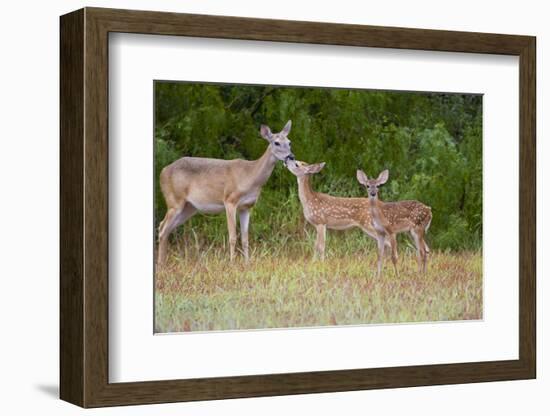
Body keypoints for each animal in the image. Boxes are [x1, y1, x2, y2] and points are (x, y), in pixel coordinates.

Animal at [158, 120, 298, 264]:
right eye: (276, 143)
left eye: (289, 142)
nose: (291, 156)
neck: (250, 176)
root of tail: (163, 171)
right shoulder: (230, 200)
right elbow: (232, 237)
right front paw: (232, 263)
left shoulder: (246, 206)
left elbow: (245, 239)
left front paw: (247, 263)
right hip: (174, 200)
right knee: (162, 228)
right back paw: (161, 264)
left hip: (189, 207)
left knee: (165, 228)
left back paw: (163, 263)